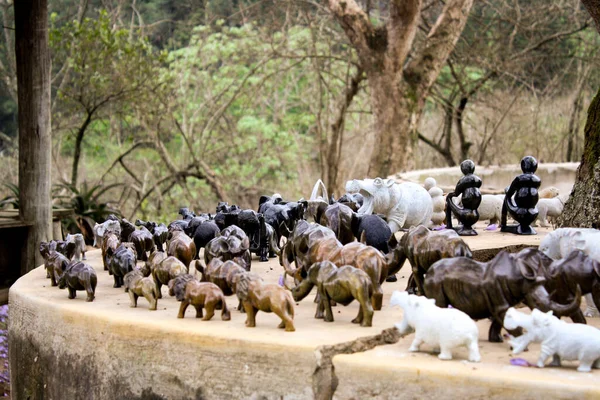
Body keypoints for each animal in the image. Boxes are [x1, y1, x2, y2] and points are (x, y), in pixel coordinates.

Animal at [422, 250, 580, 340]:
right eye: (537, 303)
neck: (519, 277)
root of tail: (428, 271)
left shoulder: (503, 302)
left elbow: (499, 321)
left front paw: (496, 339)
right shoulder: (499, 301)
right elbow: (506, 320)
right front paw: (521, 340)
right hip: (435, 281)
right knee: (439, 306)